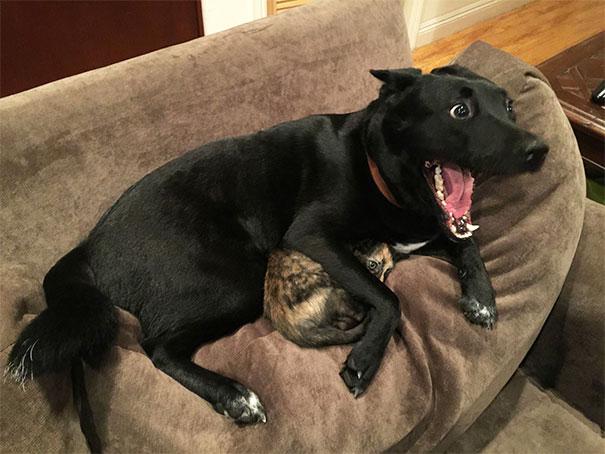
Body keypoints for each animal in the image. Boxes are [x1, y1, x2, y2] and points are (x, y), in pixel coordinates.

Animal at [7, 63, 548, 450]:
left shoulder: (416, 236)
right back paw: (235, 396)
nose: (539, 151)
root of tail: (86, 249)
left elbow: (466, 243)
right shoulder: (315, 236)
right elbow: (388, 298)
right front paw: (365, 359)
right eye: (460, 112)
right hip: (234, 283)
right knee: (157, 348)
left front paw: (481, 298)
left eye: (509, 107)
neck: (378, 167)